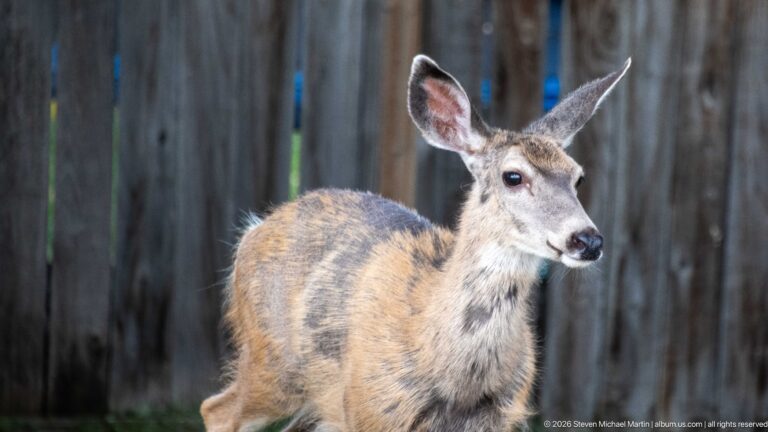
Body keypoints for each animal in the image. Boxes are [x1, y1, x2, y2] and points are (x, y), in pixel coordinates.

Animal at [201, 54, 630, 432]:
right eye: (513, 176)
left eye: (578, 178)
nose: (587, 239)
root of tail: (253, 230)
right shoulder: (371, 408)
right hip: (273, 362)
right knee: (215, 409)